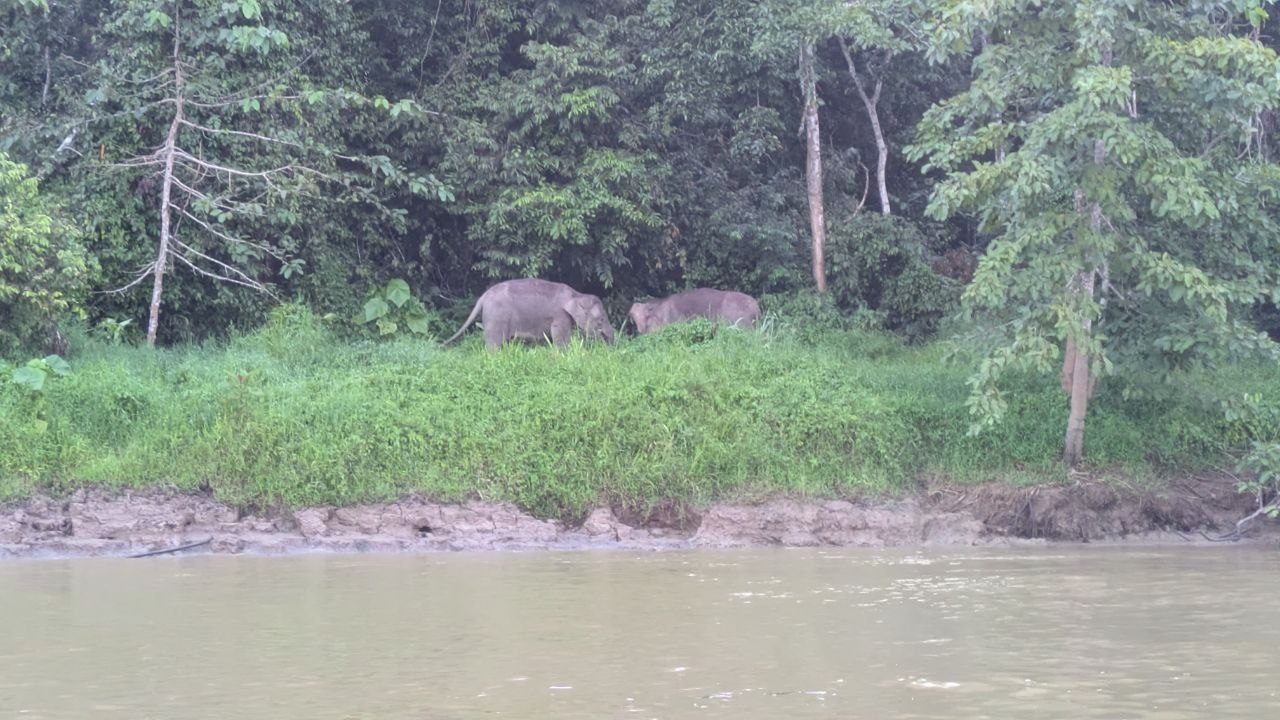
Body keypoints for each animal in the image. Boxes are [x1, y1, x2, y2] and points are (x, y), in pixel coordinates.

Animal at [443, 278, 616, 349]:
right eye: (601, 320)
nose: (610, 348)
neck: (577, 294)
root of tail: (483, 296)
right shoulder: (560, 315)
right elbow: (561, 337)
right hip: (496, 317)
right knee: (494, 343)